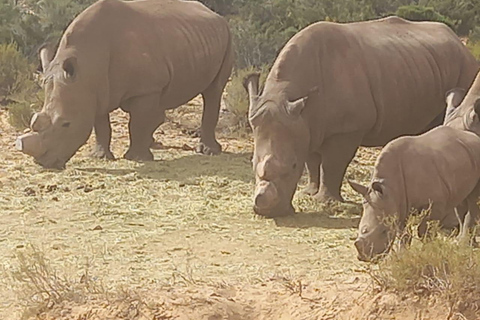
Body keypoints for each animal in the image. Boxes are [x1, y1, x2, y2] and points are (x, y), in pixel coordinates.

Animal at [246, 16, 478, 218]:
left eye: (293, 166)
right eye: (252, 163)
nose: (266, 211)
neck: (287, 92)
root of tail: (459, 41)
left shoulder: (347, 128)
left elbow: (332, 164)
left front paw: (326, 201)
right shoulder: (306, 123)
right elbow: (312, 160)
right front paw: (309, 193)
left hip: (464, 66)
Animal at [348, 126, 480, 262]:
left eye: (384, 231)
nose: (365, 258)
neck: (390, 187)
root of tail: (473, 136)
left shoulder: (435, 203)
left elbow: (424, 231)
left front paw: (428, 252)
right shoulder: (398, 204)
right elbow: (403, 233)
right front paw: (403, 255)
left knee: (473, 200)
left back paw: (464, 245)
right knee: (461, 202)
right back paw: (464, 243)